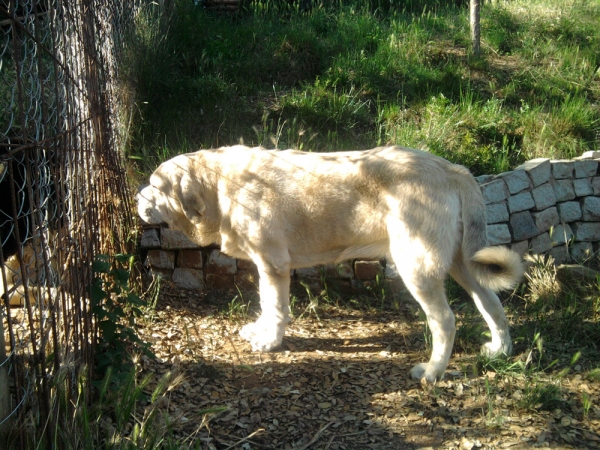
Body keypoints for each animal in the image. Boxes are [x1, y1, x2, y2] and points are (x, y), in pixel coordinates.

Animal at [138, 146, 524, 382]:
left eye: (156, 186)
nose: (137, 198)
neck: (219, 185)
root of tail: (452, 168)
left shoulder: (273, 263)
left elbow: (273, 305)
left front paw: (270, 341)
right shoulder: (267, 266)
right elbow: (267, 304)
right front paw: (260, 330)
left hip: (418, 267)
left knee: (445, 321)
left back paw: (433, 371)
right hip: (465, 264)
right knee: (491, 303)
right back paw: (499, 351)